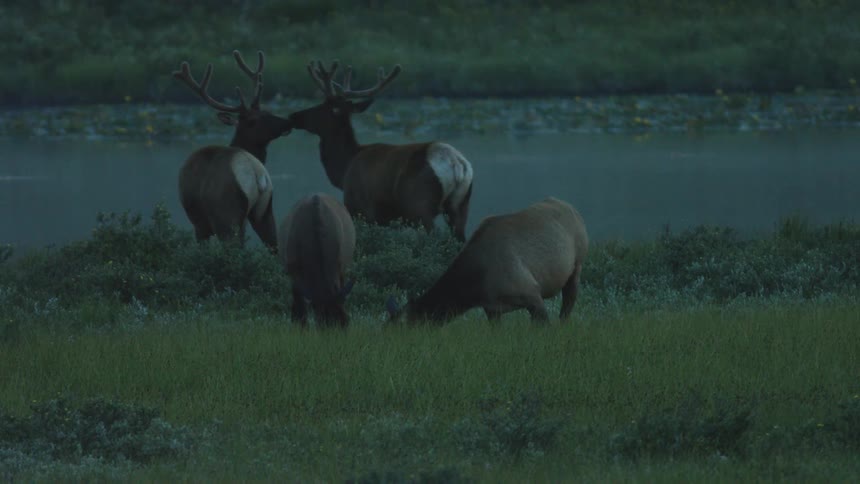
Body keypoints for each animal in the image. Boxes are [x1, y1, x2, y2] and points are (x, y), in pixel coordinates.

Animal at [172, 50, 293, 252]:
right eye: (253, 120)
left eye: (267, 112)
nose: (288, 122)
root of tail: (256, 173)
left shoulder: (199, 223)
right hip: (264, 210)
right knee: (274, 246)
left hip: (226, 214)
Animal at [287, 60, 474, 241]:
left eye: (328, 107)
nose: (295, 116)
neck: (344, 169)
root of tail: (456, 163)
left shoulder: (360, 209)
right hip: (461, 205)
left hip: (420, 205)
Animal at [386, 197, 588, 325]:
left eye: (402, 329)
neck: (477, 286)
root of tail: (575, 210)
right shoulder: (492, 310)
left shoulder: (531, 293)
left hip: (577, 265)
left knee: (568, 304)